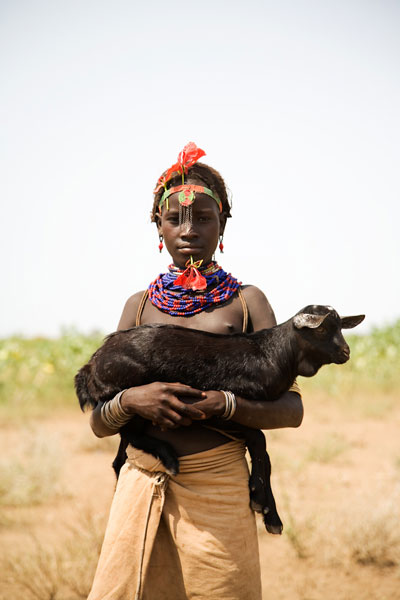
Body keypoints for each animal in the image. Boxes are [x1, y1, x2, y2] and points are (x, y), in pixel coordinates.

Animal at [76, 308, 366, 532]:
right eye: (322, 329)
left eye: (341, 326)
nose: (346, 352)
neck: (271, 353)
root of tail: (90, 367)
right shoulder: (214, 412)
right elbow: (260, 443)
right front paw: (261, 501)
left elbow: (264, 453)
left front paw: (269, 513)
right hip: (133, 399)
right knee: (130, 437)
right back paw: (169, 459)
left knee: (121, 454)